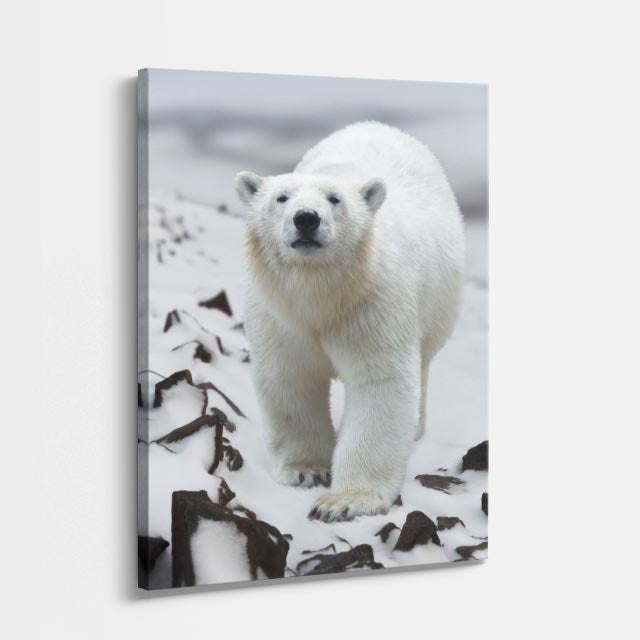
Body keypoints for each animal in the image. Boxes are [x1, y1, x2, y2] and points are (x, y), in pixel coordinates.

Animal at [235, 121, 464, 522]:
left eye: (334, 199)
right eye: (281, 197)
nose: (306, 218)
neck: (322, 295)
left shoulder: (374, 303)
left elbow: (381, 383)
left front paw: (343, 501)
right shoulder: (278, 316)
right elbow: (290, 377)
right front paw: (305, 469)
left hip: (437, 303)